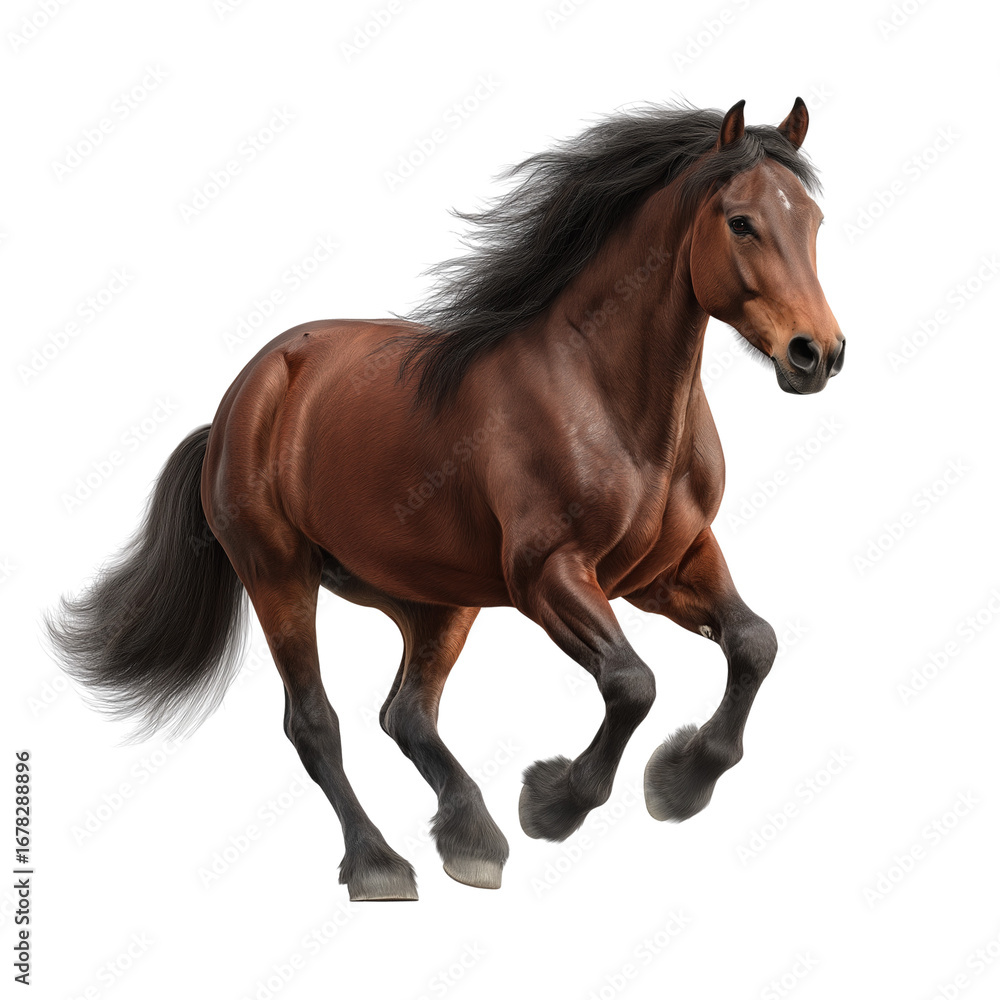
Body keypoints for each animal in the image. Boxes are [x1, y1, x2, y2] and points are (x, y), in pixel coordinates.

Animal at [47, 98, 844, 901]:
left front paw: (682, 780)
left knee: (406, 715)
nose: (818, 354)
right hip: (277, 573)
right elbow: (632, 683)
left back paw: (471, 840)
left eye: (812, 220)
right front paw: (553, 802)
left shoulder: (666, 568)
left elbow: (754, 643)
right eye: (741, 222)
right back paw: (379, 863)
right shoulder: (549, 575)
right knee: (315, 723)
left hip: (433, 598)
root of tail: (240, 399)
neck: (610, 401)